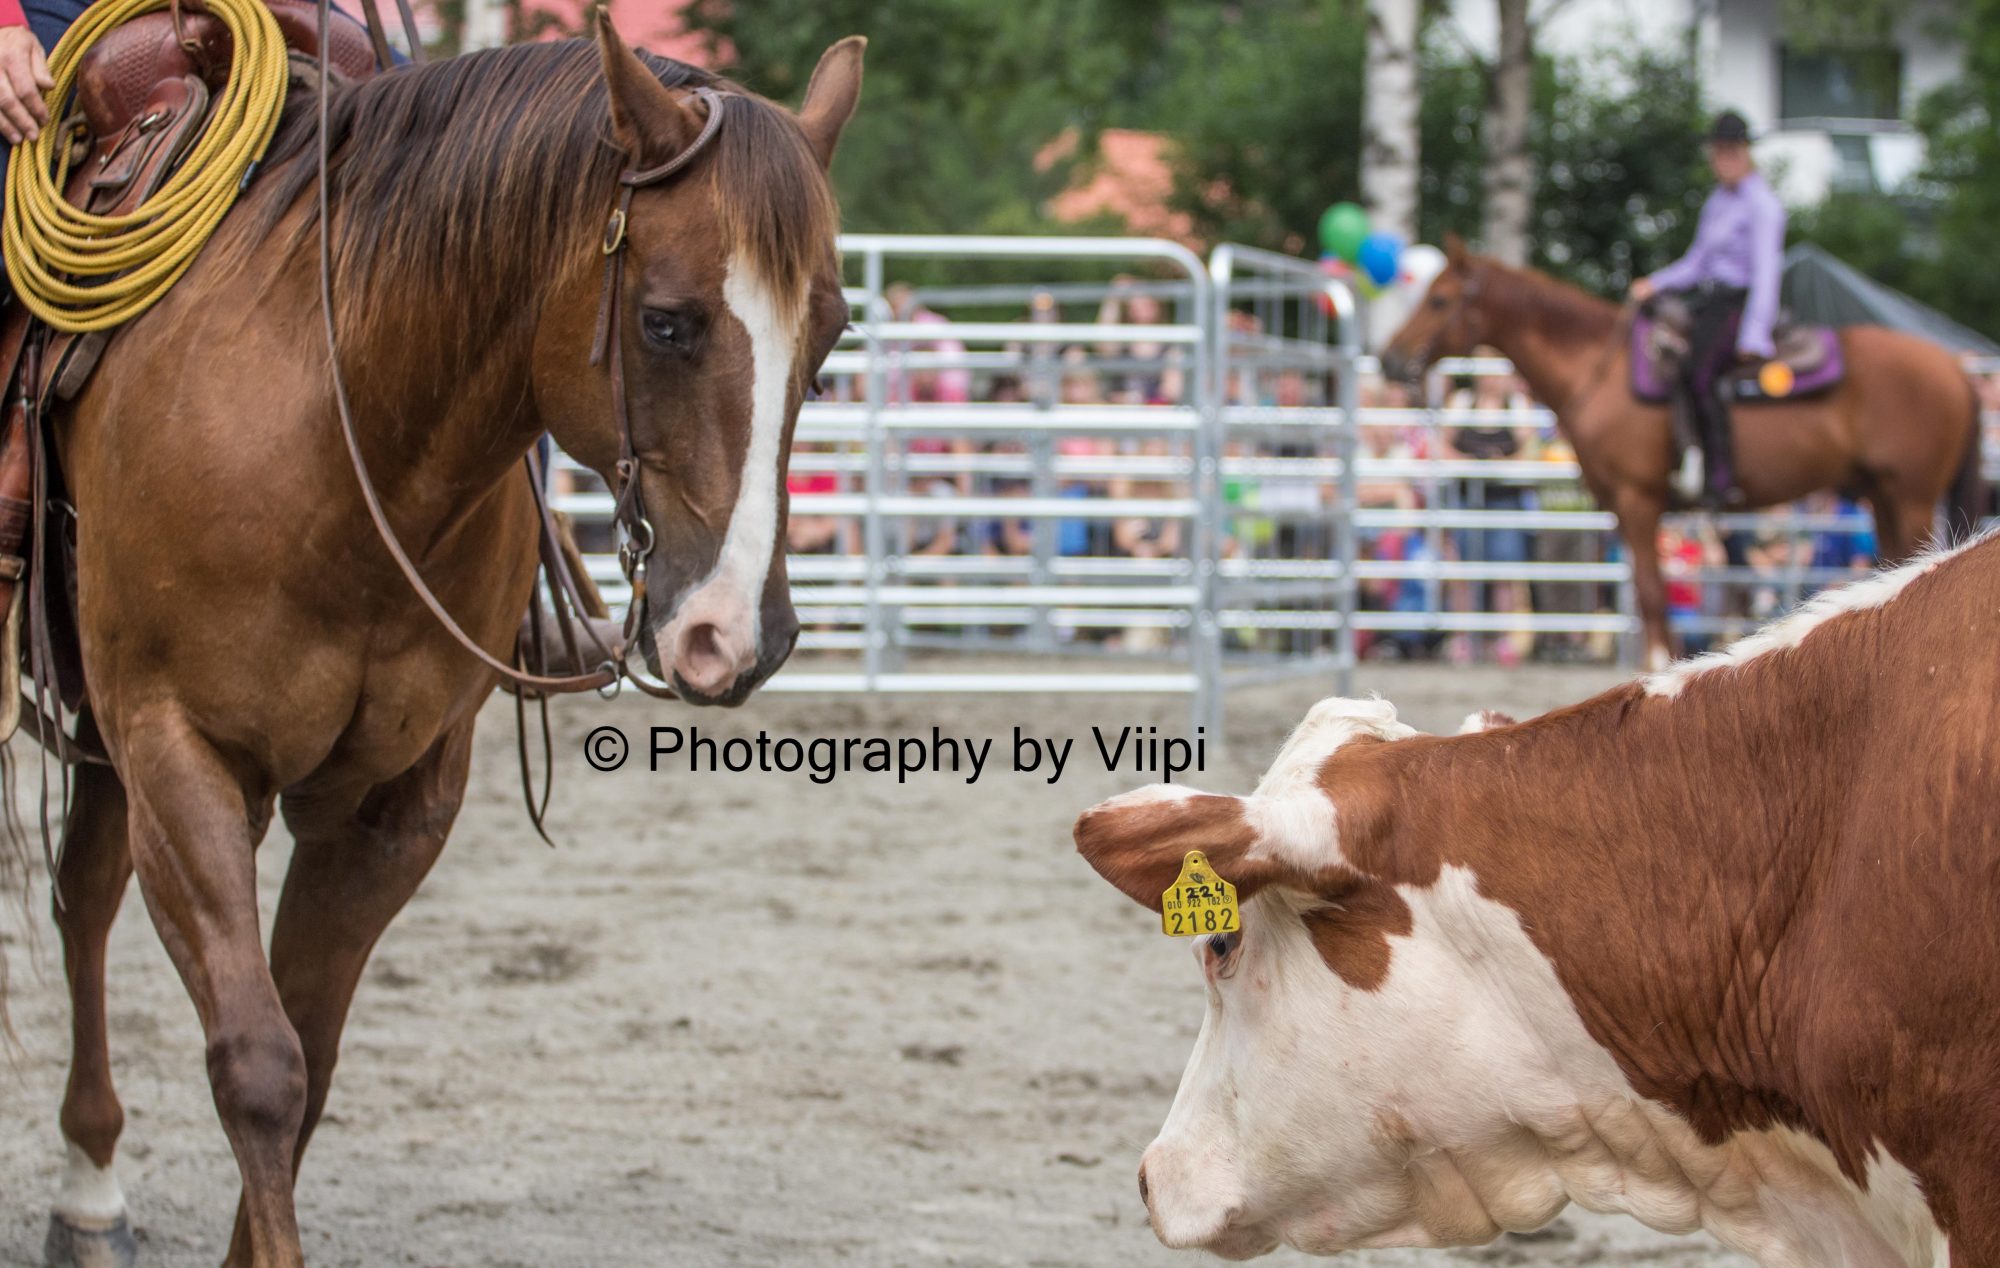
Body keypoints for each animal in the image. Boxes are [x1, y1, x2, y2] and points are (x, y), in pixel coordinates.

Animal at [23, 22, 864, 1264]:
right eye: (664, 321)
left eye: (832, 331)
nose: (736, 634)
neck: (342, 429)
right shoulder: (178, 750)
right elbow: (259, 1063)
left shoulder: (397, 798)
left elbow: (309, 1055)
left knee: (84, 888)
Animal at [1376, 238, 1984, 672]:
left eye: (1439, 299)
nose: (1389, 359)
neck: (1599, 371)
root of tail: (1955, 366)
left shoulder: (1638, 500)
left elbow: (1650, 593)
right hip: (1882, 493)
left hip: (1910, 492)